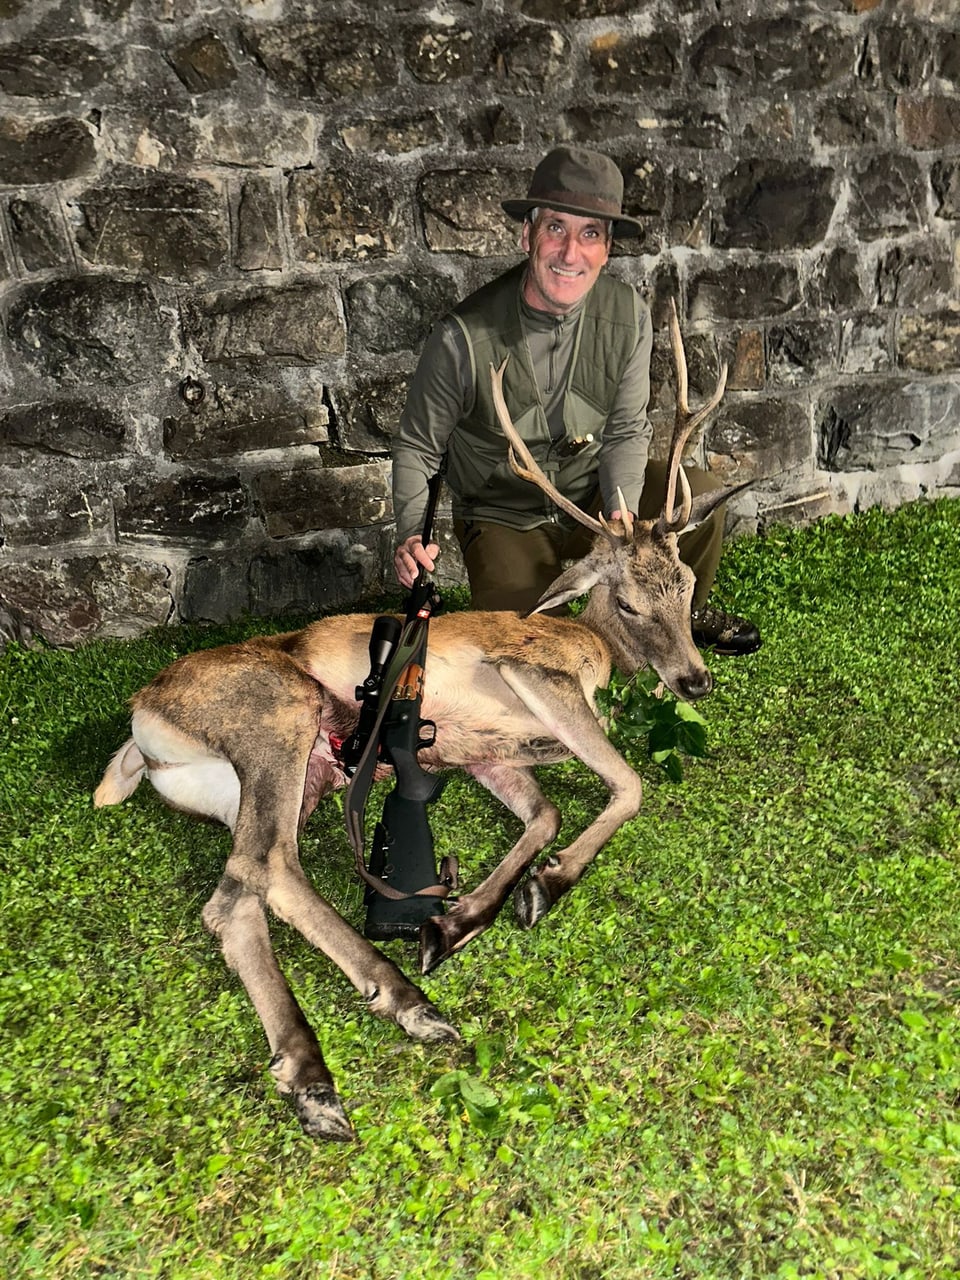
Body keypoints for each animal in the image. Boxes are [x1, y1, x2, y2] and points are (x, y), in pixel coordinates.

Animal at [94, 299, 737, 1141]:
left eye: (687, 584)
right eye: (629, 602)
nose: (696, 679)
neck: (597, 649)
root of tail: (138, 730)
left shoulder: (480, 752)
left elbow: (545, 811)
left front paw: (465, 917)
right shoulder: (534, 673)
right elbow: (627, 785)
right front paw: (547, 885)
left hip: (270, 783)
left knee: (233, 895)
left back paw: (313, 1074)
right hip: (280, 717)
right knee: (274, 868)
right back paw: (403, 1006)